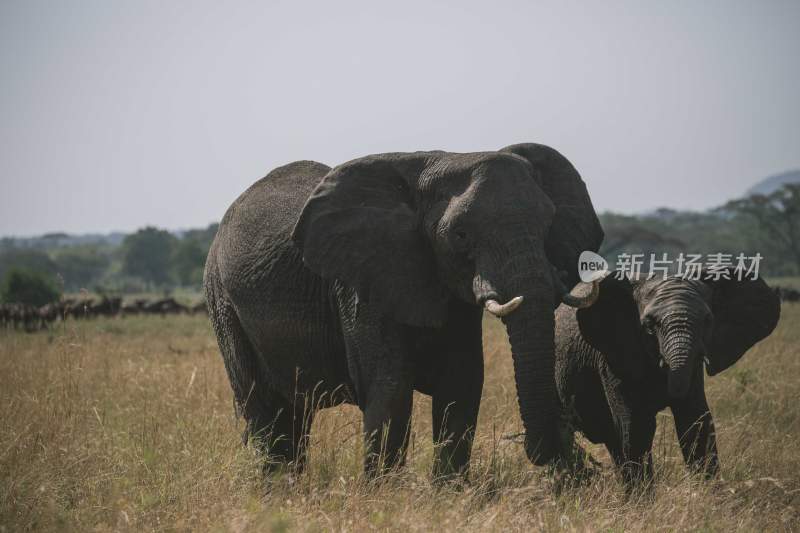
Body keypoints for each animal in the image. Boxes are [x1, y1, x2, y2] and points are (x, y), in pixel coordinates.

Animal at [203, 143, 604, 476]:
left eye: (548, 225)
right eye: (460, 235)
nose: (563, 448)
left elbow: (462, 383)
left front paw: (448, 496)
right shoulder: (361, 283)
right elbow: (391, 390)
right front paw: (380, 499)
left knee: (293, 415)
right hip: (222, 302)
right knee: (265, 410)